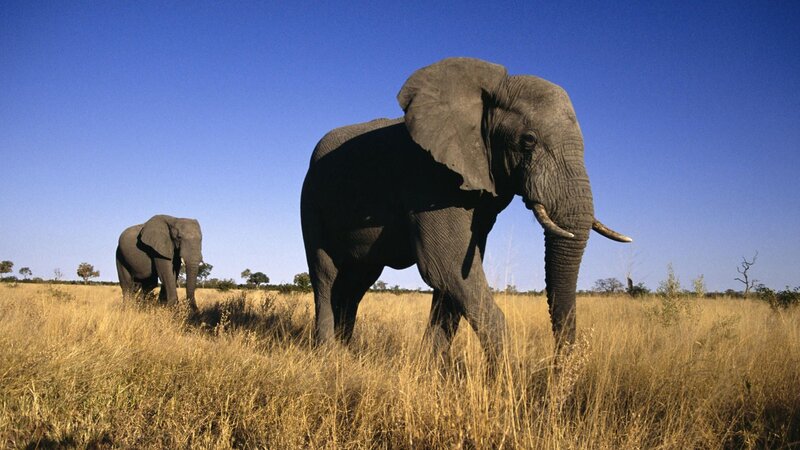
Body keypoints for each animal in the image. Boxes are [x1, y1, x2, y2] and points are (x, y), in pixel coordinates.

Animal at [301, 57, 630, 363]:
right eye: (528, 140)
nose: (556, 367)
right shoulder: (430, 177)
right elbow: (445, 267)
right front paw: (507, 377)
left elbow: (454, 277)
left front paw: (431, 370)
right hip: (311, 201)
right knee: (326, 275)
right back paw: (329, 356)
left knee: (358, 280)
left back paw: (346, 352)